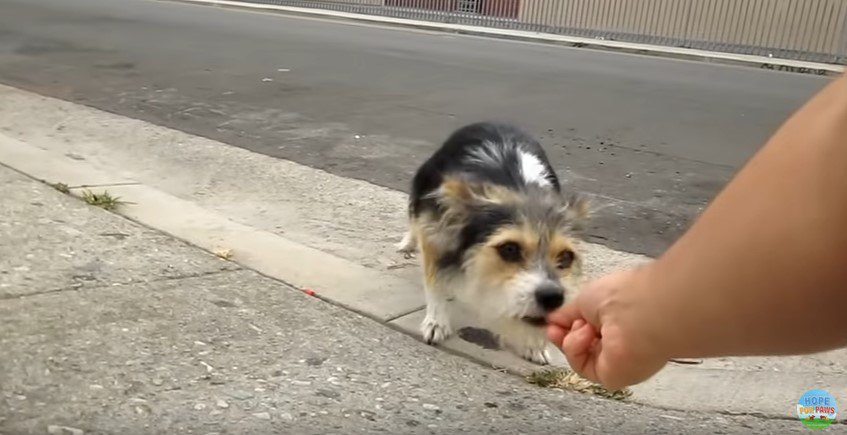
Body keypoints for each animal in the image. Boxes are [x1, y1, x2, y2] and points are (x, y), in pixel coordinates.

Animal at [398, 122, 588, 364]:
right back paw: (408, 242)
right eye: (510, 249)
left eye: (566, 257)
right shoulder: (436, 232)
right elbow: (435, 281)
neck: (519, 189)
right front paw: (436, 322)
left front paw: (533, 343)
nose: (553, 297)